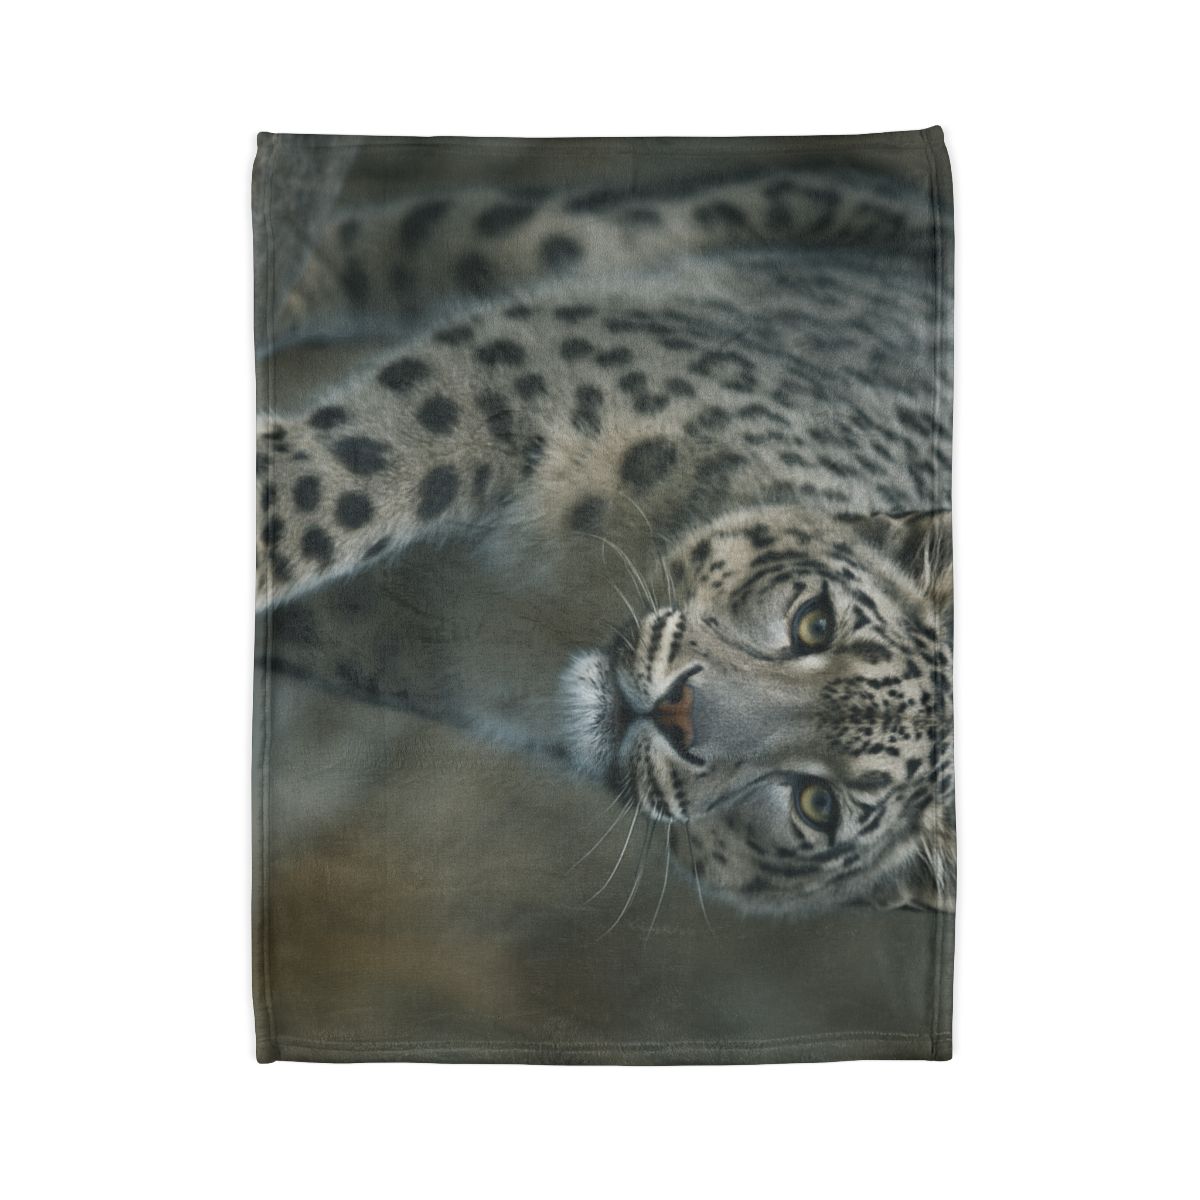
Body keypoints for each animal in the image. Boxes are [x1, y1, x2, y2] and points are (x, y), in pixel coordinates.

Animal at [254, 137, 955, 919]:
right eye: (815, 622)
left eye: (818, 804)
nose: (678, 713)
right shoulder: (541, 367)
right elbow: (355, 472)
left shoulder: (418, 638)